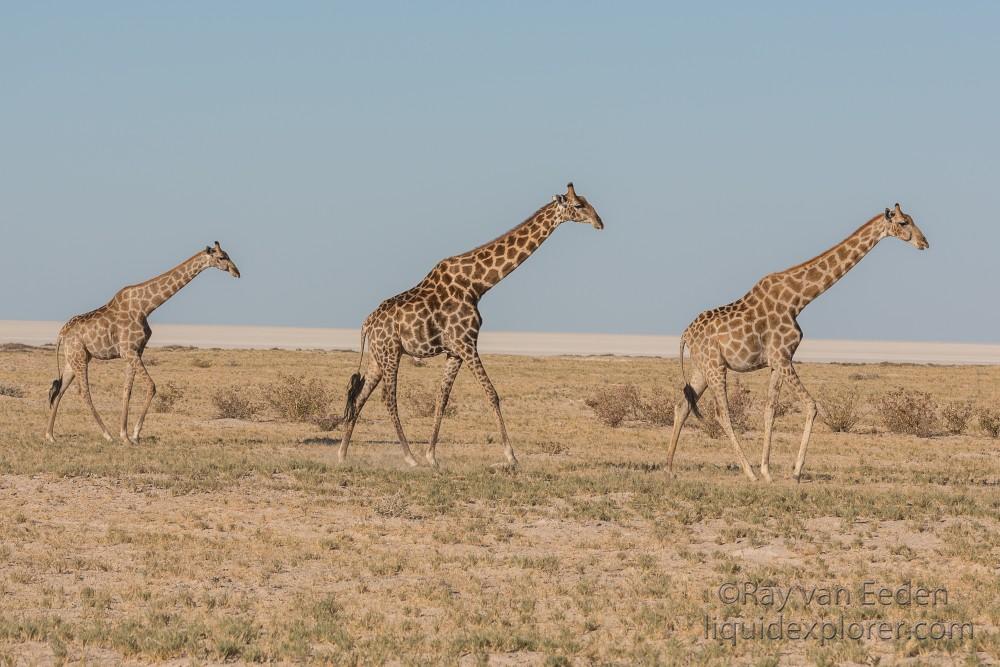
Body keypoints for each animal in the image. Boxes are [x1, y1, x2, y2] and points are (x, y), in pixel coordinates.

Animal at [45, 243, 240, 446]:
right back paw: (107, 435)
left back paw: (50, 435)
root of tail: (62, 334)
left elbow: (127, 391)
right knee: (84, 393)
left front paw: (125, 435)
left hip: (73, 358)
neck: (145, 308)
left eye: (227, 255)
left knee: (59, 391)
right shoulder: (128, 351)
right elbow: (151, 386)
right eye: (221, 257)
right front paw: (135, 434)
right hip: (80, 358)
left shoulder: (136, 351)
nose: (236, 272)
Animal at [338, 180, 600, 468]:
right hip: (390, 352)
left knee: (359, 396)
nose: (599, 222)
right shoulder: (466, 343)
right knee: (388, 398)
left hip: (377, 356)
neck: (477, 284)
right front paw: (511, 456)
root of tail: (367, 323)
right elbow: (492, 394)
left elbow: (442, 398)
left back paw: (343, 454)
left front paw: (432, 456)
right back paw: (409, 457)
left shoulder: (455, 351)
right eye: (579, 205)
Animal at [664, 204, 928, 480]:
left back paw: (669, 468)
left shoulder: (777, 361)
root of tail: (685, 334)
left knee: (682, 405)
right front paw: (795, 472)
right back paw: (748, 472)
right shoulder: (783, 357)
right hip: (715, 367)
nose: (924, 242)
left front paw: (768, 471)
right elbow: (811, 406)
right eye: (904, 222)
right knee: (721, 413)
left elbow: (770, 410)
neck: (798, 300)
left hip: (702, 367)